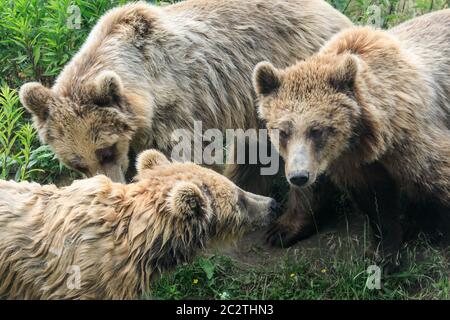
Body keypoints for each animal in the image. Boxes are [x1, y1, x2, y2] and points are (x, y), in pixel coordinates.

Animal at [18, 0, 352, 190]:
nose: (110, 183)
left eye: (106, 150)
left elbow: (183, 155)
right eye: (76, 163)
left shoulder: (181, 104)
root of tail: (334, 12)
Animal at [253, 8, 450, 266]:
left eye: (317, 130)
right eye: (283, 131)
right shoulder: (352, 163)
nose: (299, 177)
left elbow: (435, 174)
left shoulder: (413, 140)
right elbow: (377, 203)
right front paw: (383, 253)